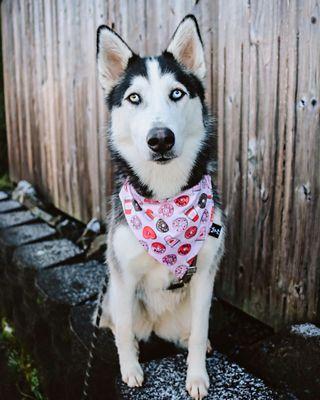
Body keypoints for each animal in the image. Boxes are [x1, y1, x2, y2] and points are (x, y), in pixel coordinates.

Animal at [97, 14, 225, 398]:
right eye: (134, 97)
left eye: (177, 93)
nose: (160, 139)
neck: (167, 201)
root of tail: (157, 326)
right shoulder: (122, 278)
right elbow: (125, 333)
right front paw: (130, 369)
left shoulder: (204, 278)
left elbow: (199, 332)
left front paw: (196, 377)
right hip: (113, 296)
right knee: (121, 325)